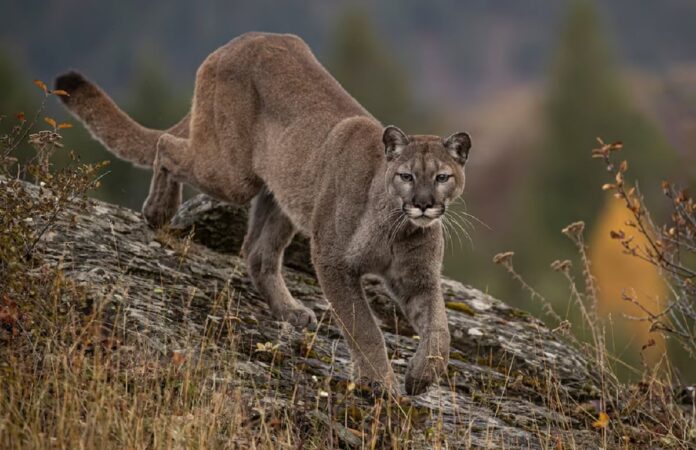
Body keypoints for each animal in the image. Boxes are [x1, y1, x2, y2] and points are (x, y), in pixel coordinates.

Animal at [51, 31, 470, 394]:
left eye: (442, 177)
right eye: (406, 176)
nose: (424, 203)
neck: (396, 227)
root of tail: (241, 40)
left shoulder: (418, 278)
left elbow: (439, 327)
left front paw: (422, 376)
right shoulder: (334, 261)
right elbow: (363, 326)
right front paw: (381, 384)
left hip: (282, 193)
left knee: (257, 252)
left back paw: (290, 310)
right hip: (232, 174)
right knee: (168, 146)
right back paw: (158, 211)